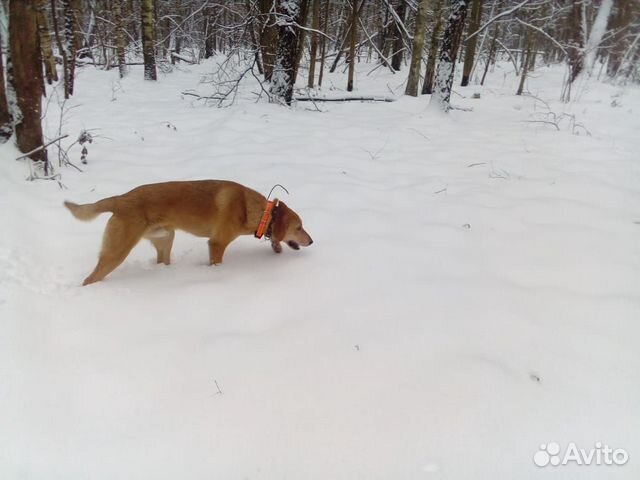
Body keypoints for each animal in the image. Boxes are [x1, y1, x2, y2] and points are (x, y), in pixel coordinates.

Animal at [65, 180, 312, 284]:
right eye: (299, 227)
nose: (311, 241)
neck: (253, 210)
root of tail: (120, 199)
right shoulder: (217, 244)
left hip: (166, 239)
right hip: (116, 251)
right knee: (90, 278)